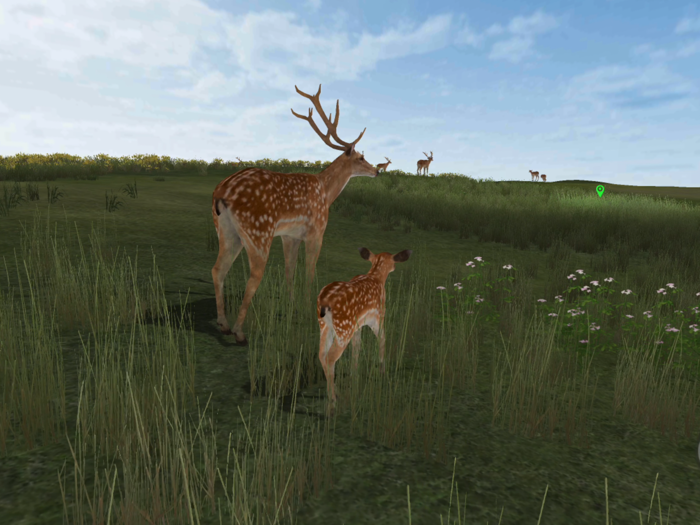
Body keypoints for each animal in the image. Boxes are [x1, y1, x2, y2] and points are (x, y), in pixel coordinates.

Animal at [211, 85, 379, 345]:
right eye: (361, 157)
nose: (377, 170)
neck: (326, 193)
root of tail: (221, 193)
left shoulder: (289, 236)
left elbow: (290, 272)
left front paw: (291, 307)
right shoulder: (316, 231)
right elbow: (309, 272)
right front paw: (309, 309)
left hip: (226, 231)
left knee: (218, 269)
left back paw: (223, 324)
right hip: (258, 231)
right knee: (253, 275)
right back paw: (239, 332)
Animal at [317, 247, 412, 416]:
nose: (394, 268)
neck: (376, 277)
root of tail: (324, 303)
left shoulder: (358, 326)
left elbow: (357, 347)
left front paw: (354, 374)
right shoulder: (378, 316)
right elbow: (382, 339)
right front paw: (382, 371)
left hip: (326, 326)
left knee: (322, 354)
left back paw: (334, 393)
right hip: (344, 328)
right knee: (330, 357)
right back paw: (333, 399)